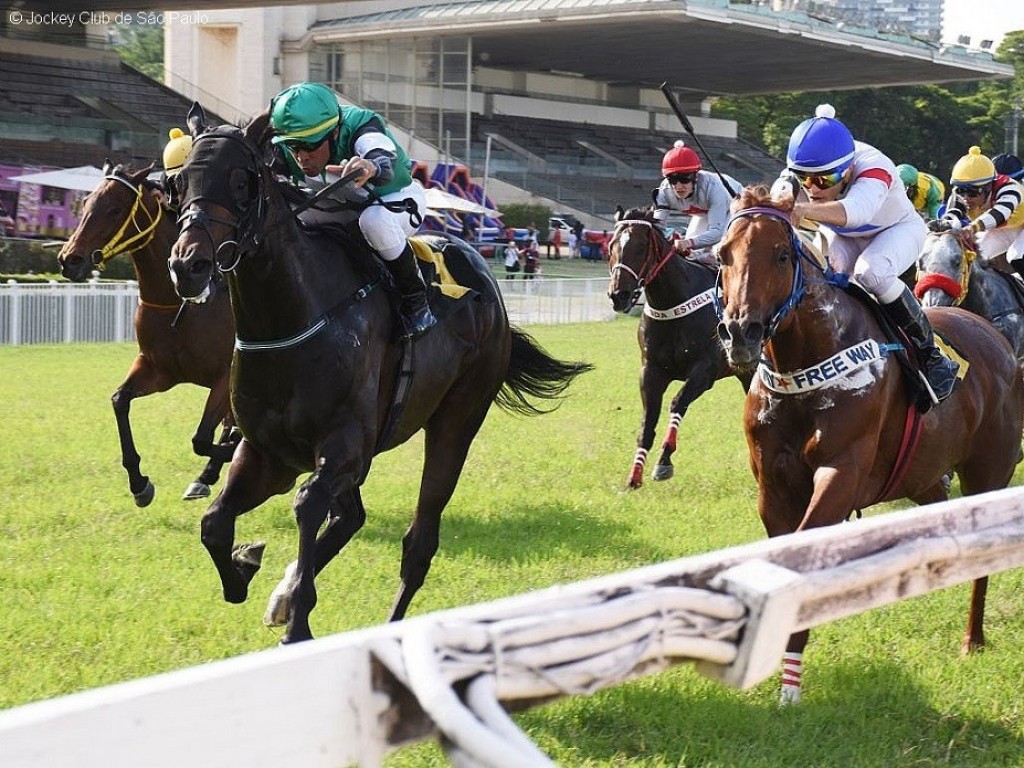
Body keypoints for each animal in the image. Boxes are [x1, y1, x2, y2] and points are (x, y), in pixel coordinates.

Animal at [58, 162, 239, 507]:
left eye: (115, 209)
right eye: (85, 204)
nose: (69, 259)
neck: (180, 302)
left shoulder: (227, 376)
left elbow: (203, 437)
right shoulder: (159, 370)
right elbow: (119, 400)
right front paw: (139, 483)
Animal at [163, 103, 589, 643]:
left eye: (242, 180)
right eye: (178, 183)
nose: (189, 266)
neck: (294, 317)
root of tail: (483, 274)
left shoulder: (343, 445)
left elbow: (306, 504)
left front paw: (297, 620)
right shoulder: (268, 452)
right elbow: (215, 523)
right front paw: (248, 569)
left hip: (456, 422)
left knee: (420, 541)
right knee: (352, 518)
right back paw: (283, 593)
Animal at [606, 207, 753, 489]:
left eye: (641, 247)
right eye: (611, 246)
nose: (618, 295)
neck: (673, 303)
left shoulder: (704, 371)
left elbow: (677, 404)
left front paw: (663, 462)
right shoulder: (651, 371)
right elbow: (647, 423)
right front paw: (634, 476)